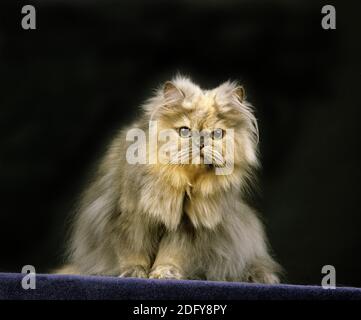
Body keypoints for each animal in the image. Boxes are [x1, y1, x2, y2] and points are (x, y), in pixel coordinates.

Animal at [56, 75, 282, 282]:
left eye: (217, 134)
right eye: (185, 131)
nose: (201, 143)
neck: (185, 182)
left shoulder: (187, 226)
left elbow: (171, 255)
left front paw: (165, 274)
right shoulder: (129, 217)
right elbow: (133, 252)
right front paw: (134, 273)